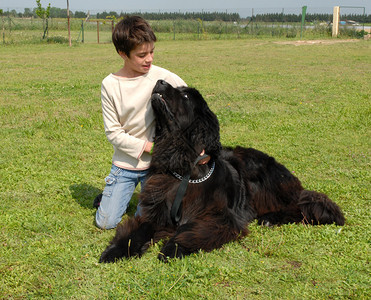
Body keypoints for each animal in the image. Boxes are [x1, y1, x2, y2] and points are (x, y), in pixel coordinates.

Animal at [99, 79, 346, 262]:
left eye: (185, 97)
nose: (159, 80)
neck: (185, 167)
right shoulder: (158, 212)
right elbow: (136, 230)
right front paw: (115, 251)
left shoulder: (221, 218)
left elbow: (190, 231)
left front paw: (171, 249)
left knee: (301, 206)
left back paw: (271, 218)